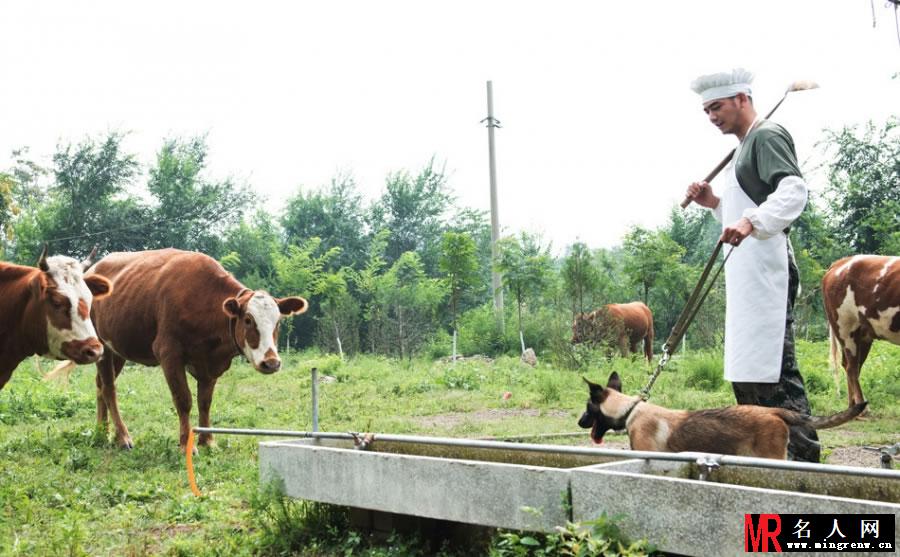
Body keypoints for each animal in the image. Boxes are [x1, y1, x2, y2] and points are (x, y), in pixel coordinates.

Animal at [85, 250, 310, 450]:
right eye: (248, 320)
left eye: (278, 321)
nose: (271, 362)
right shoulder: (169, 353)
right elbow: (184, 400)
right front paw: (187, 444)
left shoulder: (210, 364)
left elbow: (205, 402)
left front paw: (207, 441)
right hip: (101, 345)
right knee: (109, 388)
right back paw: (122, 437)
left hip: (117, 349)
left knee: (100, 385)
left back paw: (102, 432)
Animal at [824, 254, 900, 406]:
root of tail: (841, 262)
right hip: (845, 327)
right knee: (851, 368)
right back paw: (861, 405)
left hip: (863, 334)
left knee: (851, 365)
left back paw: (852, 406)